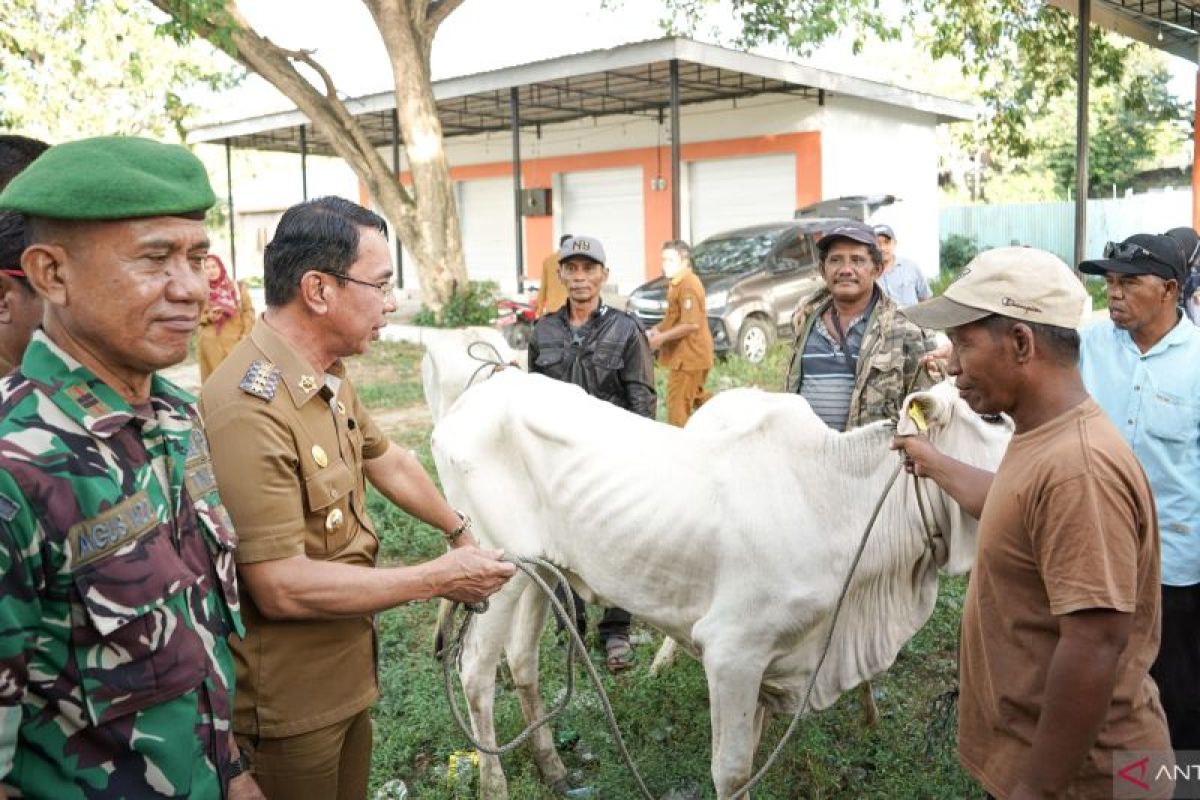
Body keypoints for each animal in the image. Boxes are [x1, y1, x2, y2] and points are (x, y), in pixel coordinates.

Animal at [434, 376, 1012, 800]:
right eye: (991, 417)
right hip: (497, 569)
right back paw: (494, 786)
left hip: (542, 571)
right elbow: (731, 771)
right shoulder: (733, 653)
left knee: (522, 660)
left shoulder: (767, 663)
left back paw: (552, 767)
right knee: (476, 671)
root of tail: (471, 399)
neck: (831, 499)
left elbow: (750, 754)